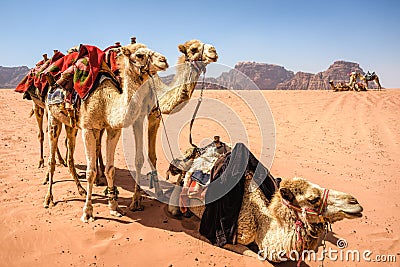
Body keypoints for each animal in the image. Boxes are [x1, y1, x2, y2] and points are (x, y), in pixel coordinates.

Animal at [44, 44, 169, 224]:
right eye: (139, 55)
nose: (164, 60)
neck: (105, 102)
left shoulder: (113, 130)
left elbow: (110, 169)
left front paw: (114, 207)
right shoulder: (88, 129)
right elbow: (90, 172)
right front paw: (87, 212)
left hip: (71, 125)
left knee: (69, 153)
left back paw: (80, 190)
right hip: (52, 117)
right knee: (52, 160)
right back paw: (49, 199)